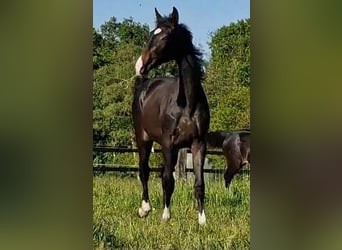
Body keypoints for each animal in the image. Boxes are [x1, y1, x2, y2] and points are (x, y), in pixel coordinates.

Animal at [132, 6, 210, 225]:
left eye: (165, 37)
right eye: (152, 33)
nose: (139, 65)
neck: (187, 104)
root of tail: (144, 84)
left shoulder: (198, 144)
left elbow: (199, 184)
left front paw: (202, 220)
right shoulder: (168, 143)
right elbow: (168, 179)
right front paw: (165, 215)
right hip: (143, 139)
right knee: (144, 170)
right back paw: (145, 208)